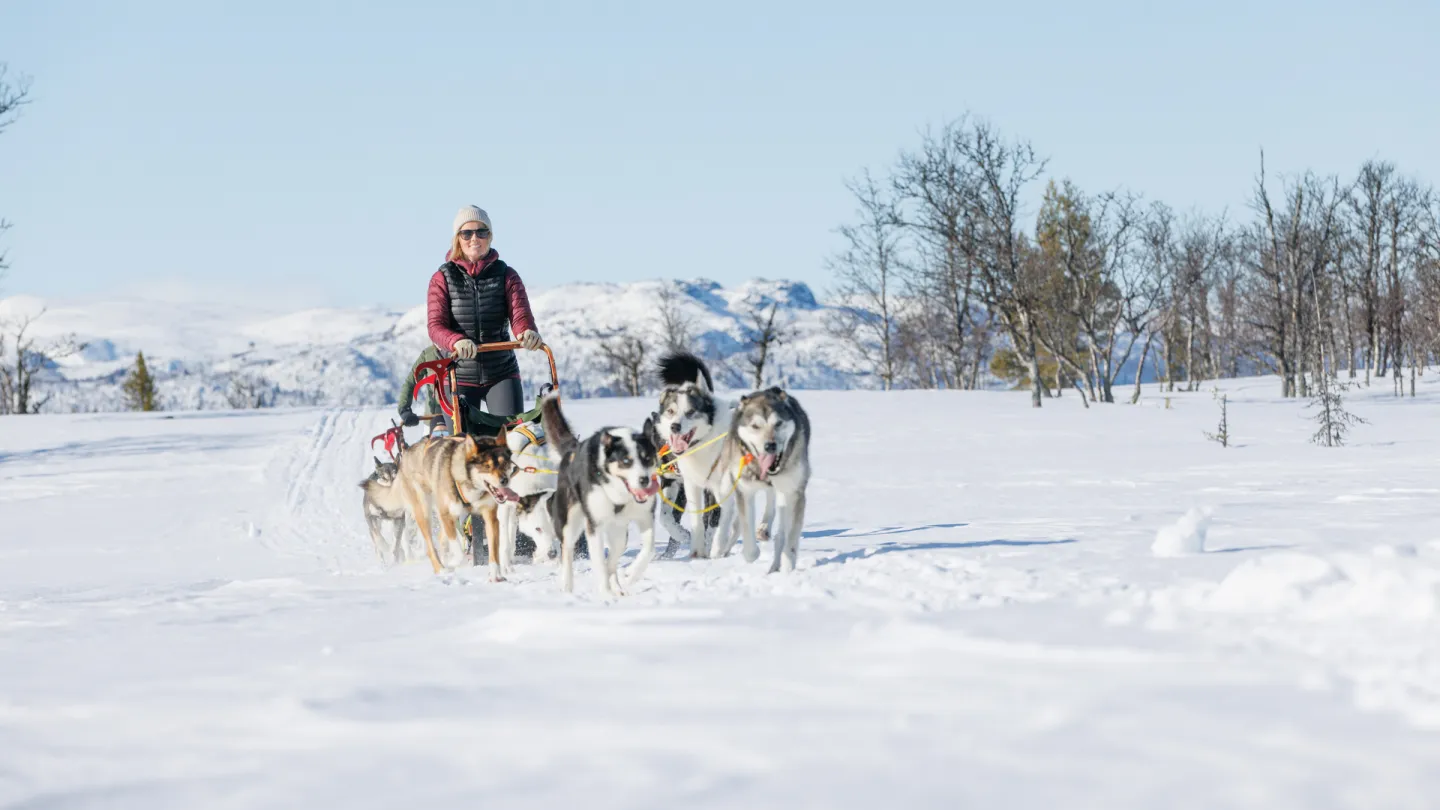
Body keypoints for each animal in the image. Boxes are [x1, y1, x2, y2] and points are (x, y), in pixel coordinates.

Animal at [400, 426, 518, 576]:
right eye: (487, 466)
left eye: (505, 463)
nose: (505, 480)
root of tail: (407, 452)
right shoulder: (446, 514)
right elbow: (458, 551)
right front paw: (454, 562)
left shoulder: (490, 516)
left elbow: (493, 550)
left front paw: (495, 574)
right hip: (425, 512)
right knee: (431, 547)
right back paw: (441, 569)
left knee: (441, 538)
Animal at [541, 394, 662, 596]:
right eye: (626, 461)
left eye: (647, 458)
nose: (644, 480)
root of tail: (572, 450)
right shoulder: (594, 526)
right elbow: (598, 563)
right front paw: (606, 594)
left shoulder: (645, 516)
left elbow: (649, 549)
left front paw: (631, 574)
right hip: (569, 523)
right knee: (567, 550)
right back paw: (567, 586)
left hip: (619, 531)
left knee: (612, 559)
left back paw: (618, 587)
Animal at [711, 383, 812, 567]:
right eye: (755, 426)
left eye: (778, 423)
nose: (770, 445)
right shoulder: (744, 491)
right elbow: (748, 541)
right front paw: (751, 553)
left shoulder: (794, 491)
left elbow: (789, 539)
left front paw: (787, 566)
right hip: (727, 482)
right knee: (727, 512)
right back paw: (719, 545)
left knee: (773, 507)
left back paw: (765, 529)